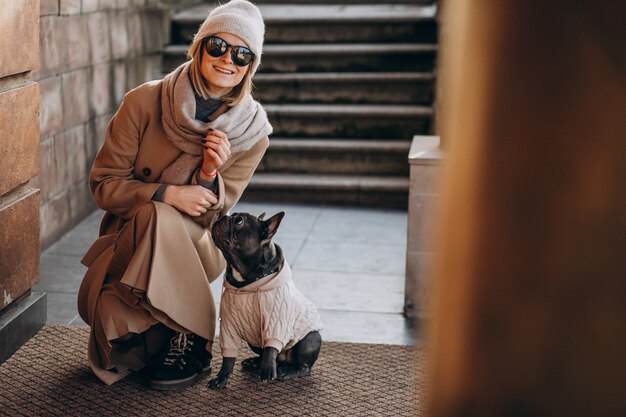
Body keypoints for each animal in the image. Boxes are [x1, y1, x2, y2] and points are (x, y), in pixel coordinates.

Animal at [207, 213, 322, 388]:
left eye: (239, 221)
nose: (222, 216)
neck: (245, 282)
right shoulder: (228, 324)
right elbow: (228, 357)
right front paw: (221, 377)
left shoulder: (276, 321)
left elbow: (271, 348)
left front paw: (268, 370)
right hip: (254, 343)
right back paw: (255, 362)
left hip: (310, 339)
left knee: (303, 366)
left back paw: (286, 371)